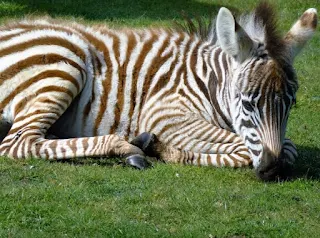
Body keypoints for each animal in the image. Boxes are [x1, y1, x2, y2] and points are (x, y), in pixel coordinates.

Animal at [0, 2, 316, 180]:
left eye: (290, 105)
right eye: (247, 104)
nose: (273, 170)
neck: (206, 81)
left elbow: (288, 149)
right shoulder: (164, 113)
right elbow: (242, 147)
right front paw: (165, 150)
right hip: (64, 64)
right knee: (19, 143)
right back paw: (127, 147)